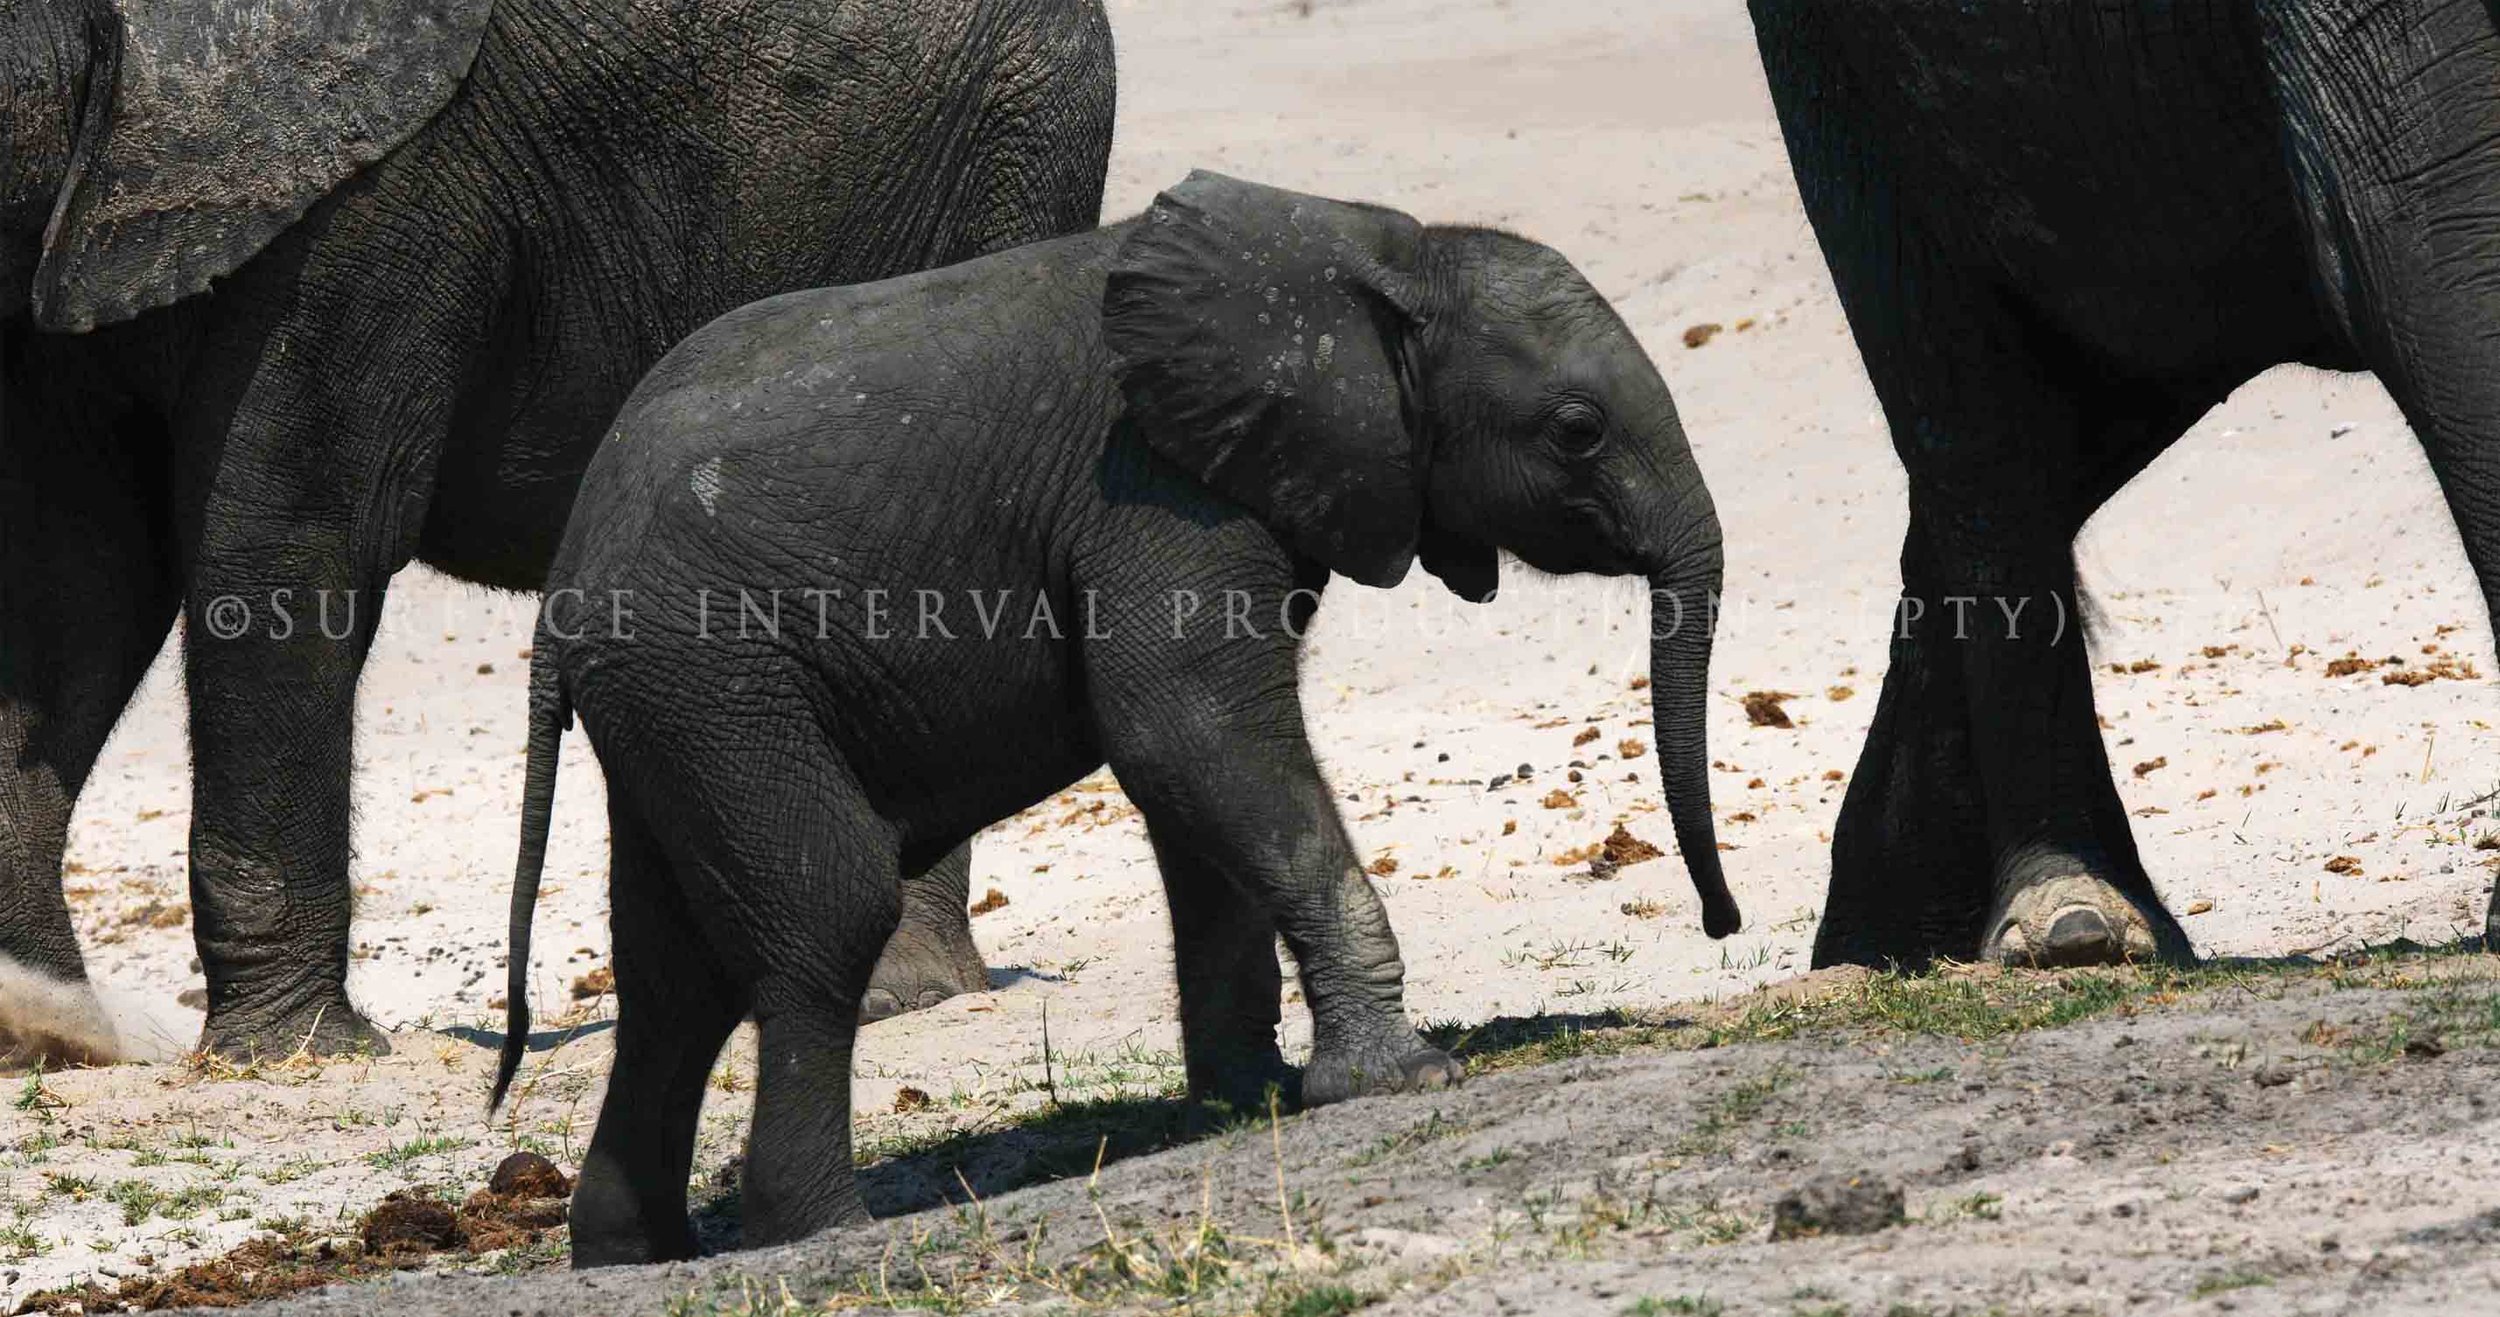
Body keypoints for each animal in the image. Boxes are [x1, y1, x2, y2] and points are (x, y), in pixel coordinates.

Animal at [0, 0, 1115, 1062]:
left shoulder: (383, 189)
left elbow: (287, 533)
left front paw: (288, 1055)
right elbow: (77, 577)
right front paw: (42, 1035)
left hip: (1014, 154)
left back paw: (891, 995)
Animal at [487, 171, 1740, 1263]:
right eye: (1576, 430)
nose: (1722, 927)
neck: (1371, 254)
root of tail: (564, 588)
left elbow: (1201, 785)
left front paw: (1253, 1103)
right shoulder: (1151, 487)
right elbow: (1185, 728)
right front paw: (1399, 1080)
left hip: (675, 705)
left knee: (674, 976)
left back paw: (629, 1256)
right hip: (716, 671)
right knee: (824, 910)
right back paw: (826, 1232)